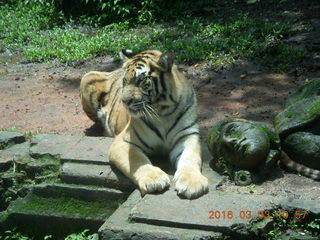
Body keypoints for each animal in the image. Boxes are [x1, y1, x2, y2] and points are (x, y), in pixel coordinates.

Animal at [79, 48, 209, 199]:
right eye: (125, 81)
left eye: (140, 80)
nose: (124, 101)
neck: (163, 112)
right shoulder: (123, 142)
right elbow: (137, 161)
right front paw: (154, 180)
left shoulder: (187, 136)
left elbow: (190, 158)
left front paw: (192, 183)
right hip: (87, 78)